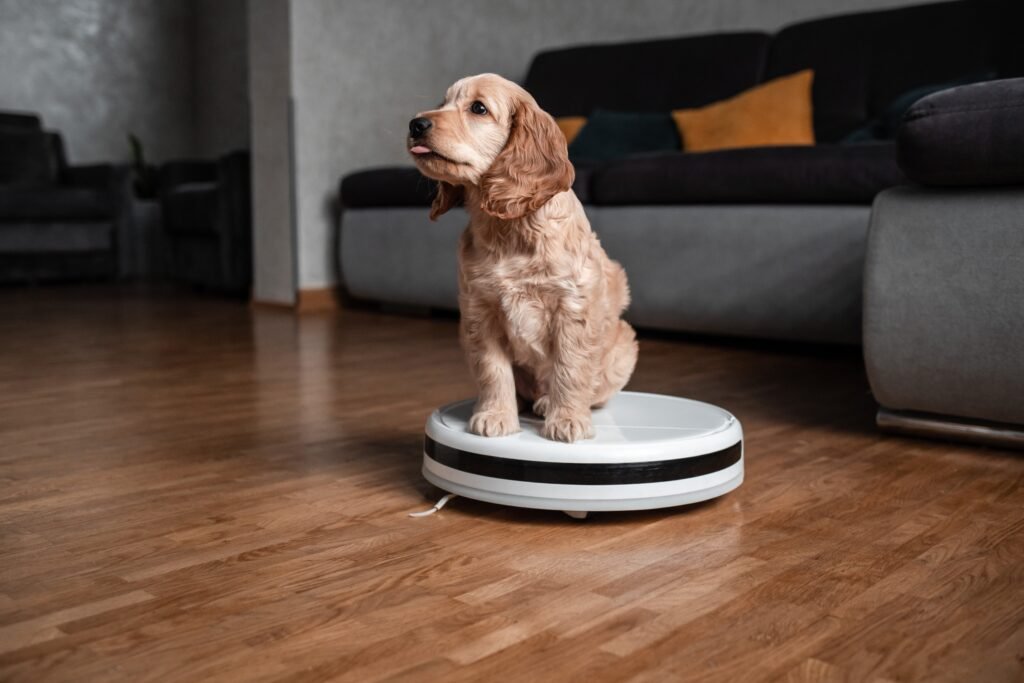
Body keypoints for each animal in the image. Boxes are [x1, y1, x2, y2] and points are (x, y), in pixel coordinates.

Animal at [405, 73, 630, 444]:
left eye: (478, 108)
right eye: (442, 103)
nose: (416, 124)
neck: (507, 226)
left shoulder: (572, 307)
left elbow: (570, 367)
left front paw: (568, 419)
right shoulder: (480, 310)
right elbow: (492, 369)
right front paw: (495, 415)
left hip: (624, 344)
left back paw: (548, 403)